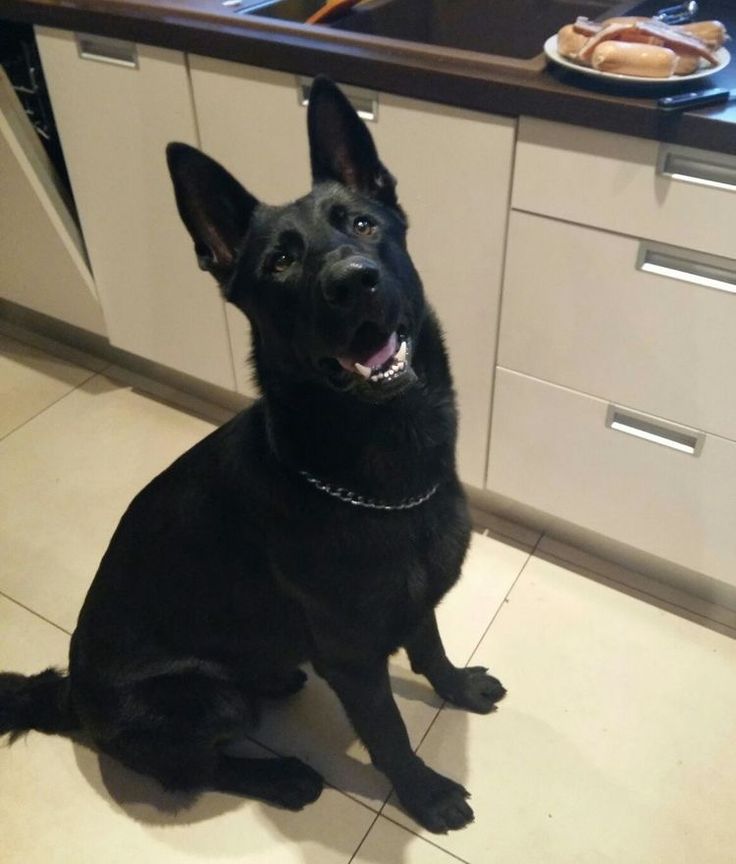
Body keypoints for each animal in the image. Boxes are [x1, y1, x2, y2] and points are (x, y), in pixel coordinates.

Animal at [0, 77, 506, 832]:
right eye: (280, 263)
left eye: (363, 225)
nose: (352, 281)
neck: (377, 475)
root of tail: (72, 701)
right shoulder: (354, 661)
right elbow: (388, 733)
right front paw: (424, 793)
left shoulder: (414, 605)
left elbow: (431, 648)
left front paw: (457, 687)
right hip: (207, 699)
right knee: (194, 769)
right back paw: (283, 777)